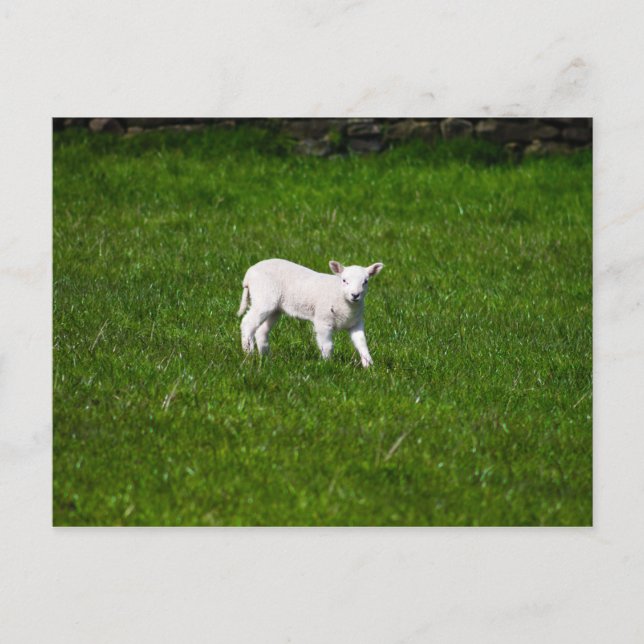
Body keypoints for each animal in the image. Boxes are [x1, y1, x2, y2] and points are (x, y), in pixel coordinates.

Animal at [237, 258, 384, 367]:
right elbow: (327, 346)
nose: (355, 295)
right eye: (344, 280)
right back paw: (249, 354)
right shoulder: (323, 320)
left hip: (275, 308)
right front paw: (327, 365)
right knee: (247, 323)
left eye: (365, 282)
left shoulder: (355, 323)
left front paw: (369, 365)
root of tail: (248, 275)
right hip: (264, 297)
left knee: (261, 331)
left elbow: (362, 343)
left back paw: (265, 357)